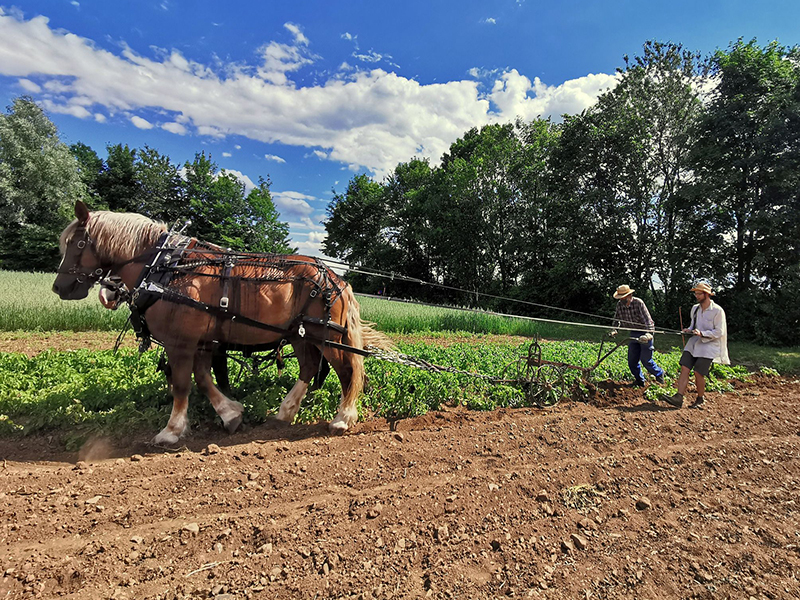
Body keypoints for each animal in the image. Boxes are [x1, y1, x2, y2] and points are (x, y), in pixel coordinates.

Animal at [53, 200, 392, 445]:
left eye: (78, 244)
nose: (59, 287)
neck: (166, 269)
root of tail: (338, 280)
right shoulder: (201, 341)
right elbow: (203, 379)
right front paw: (231, 413)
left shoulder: (180, 342)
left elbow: (182, 385)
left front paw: (171, 431)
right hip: (301, 333)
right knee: (309, 367)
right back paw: (285, 411)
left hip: (326, 334)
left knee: (347, 371)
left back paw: (343, 418)